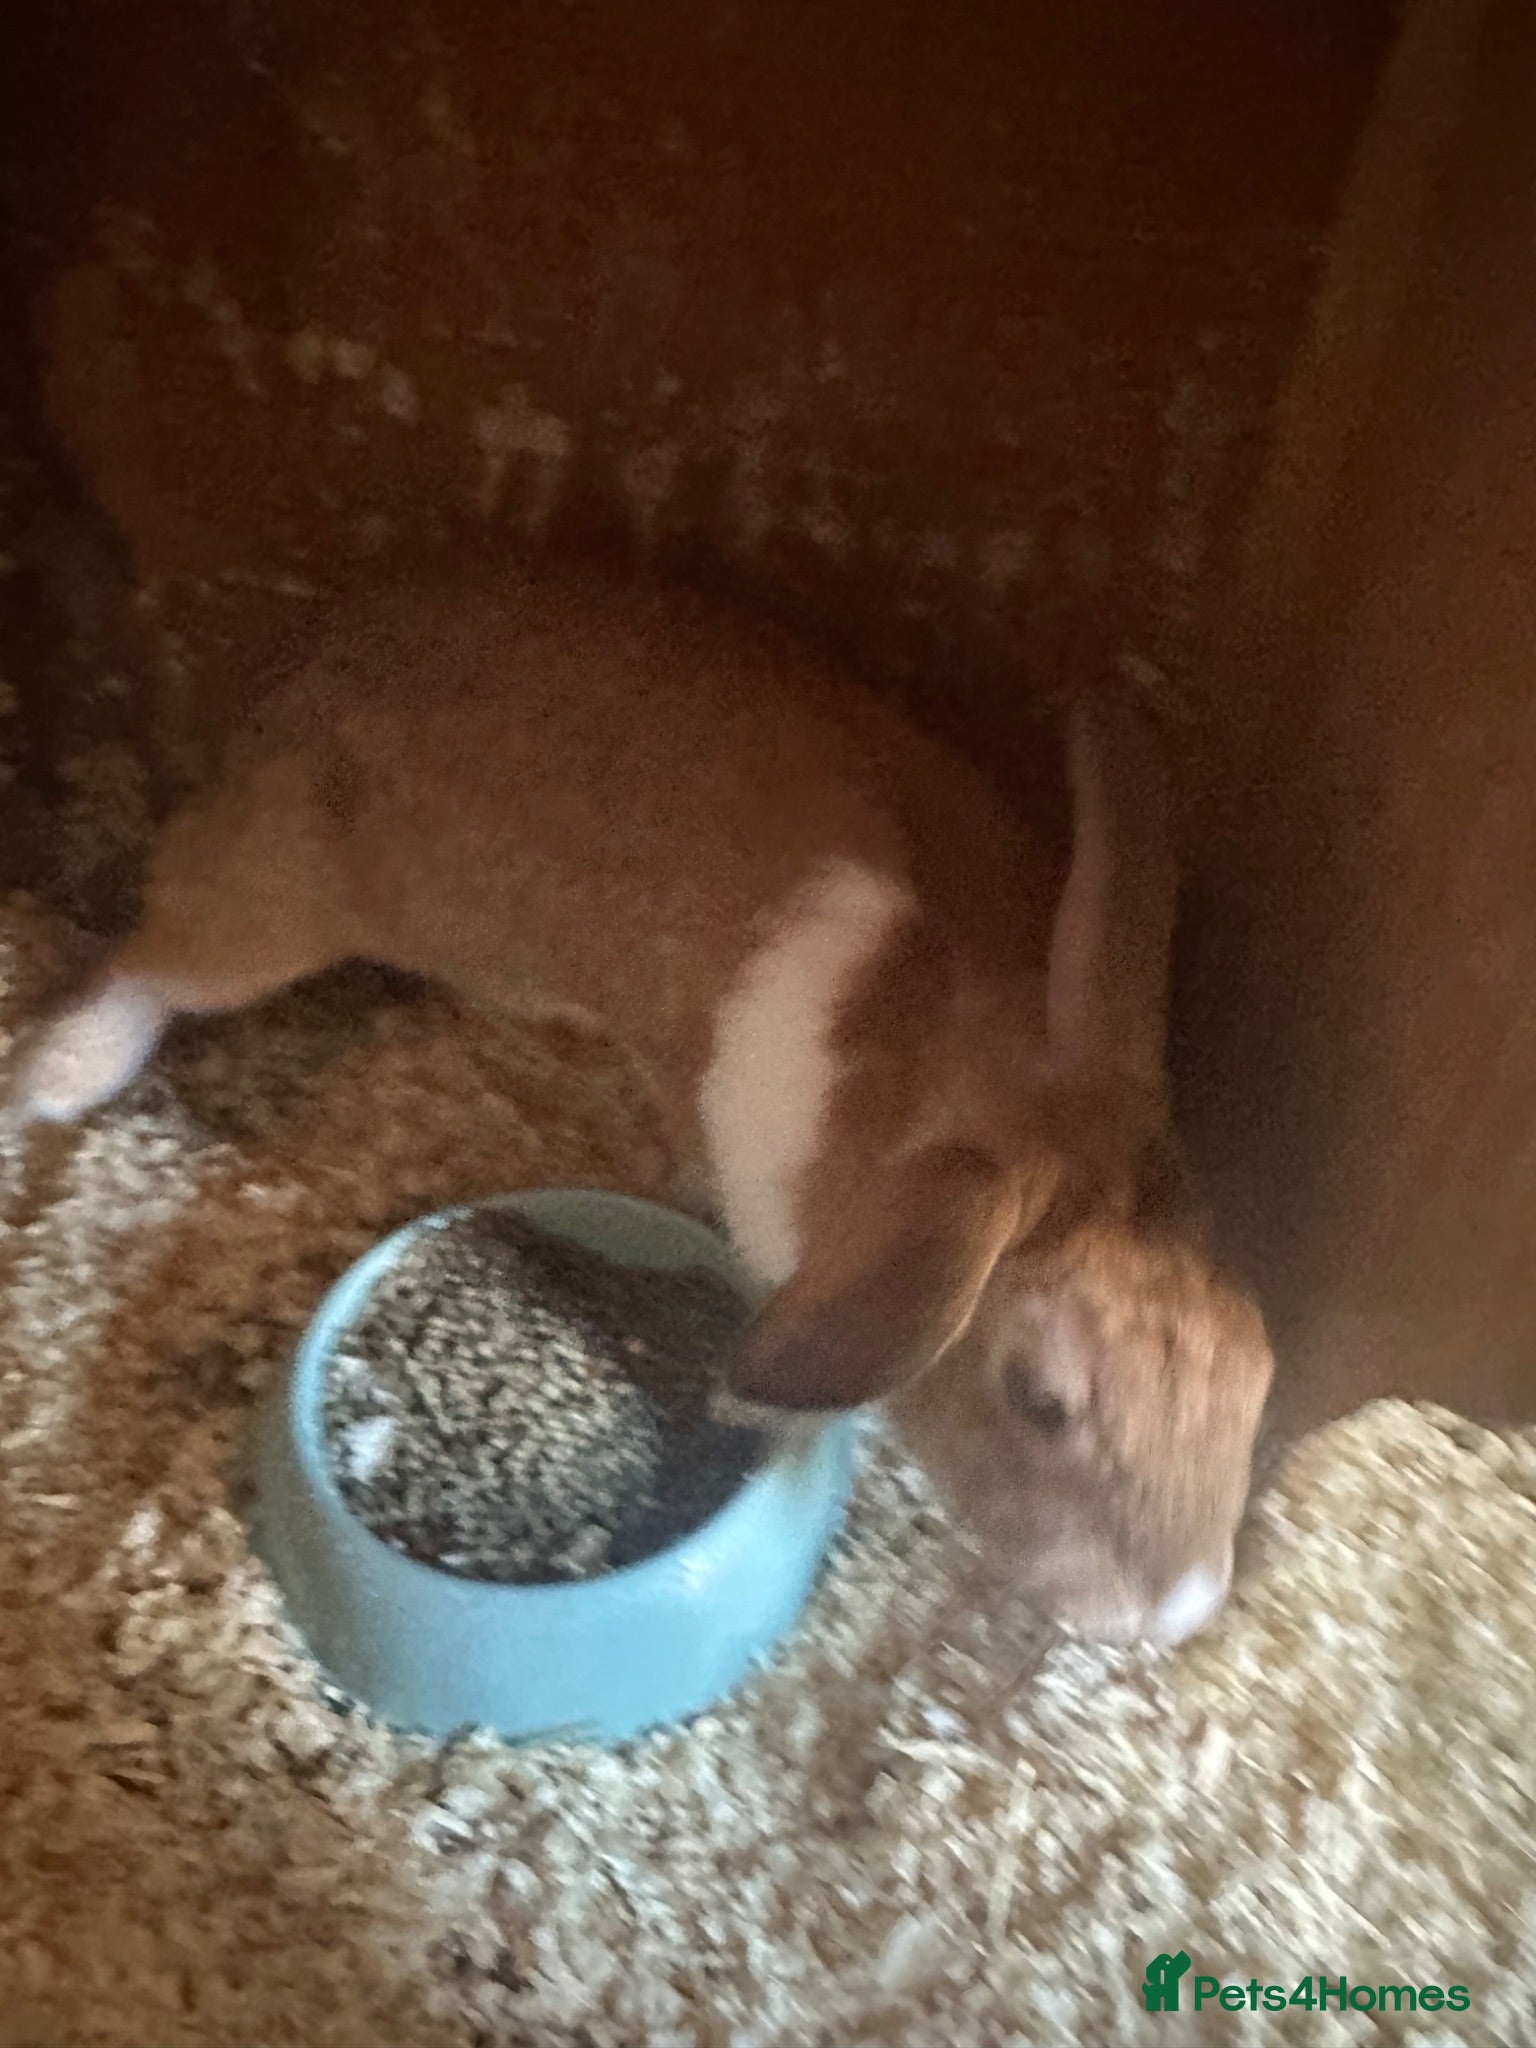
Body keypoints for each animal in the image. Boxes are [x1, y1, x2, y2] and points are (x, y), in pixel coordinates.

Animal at [4, 563, 1273, 1645]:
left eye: (1257, 1370)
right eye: (1042, 1400)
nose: (1175, 1612)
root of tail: (310, 657)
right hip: (268, 904)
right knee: (148, 962)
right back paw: (49, 1077)